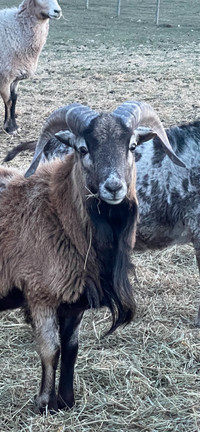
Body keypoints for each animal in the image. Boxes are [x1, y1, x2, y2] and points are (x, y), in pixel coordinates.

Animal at [0, 0, 61, 133]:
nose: (58, 11)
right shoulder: (4, 77)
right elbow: (8, 101)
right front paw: (10, 128)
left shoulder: (15, 77)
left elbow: (14, 99)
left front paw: (14, 126)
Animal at [0, 99, 184, 414]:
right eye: (83, 149)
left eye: (132, 146)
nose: (113, 187)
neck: (57, 212)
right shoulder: (39, 295)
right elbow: (51, 349)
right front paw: (44, 404)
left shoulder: (74, 301)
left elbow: (71, 349)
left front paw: (66, 402)